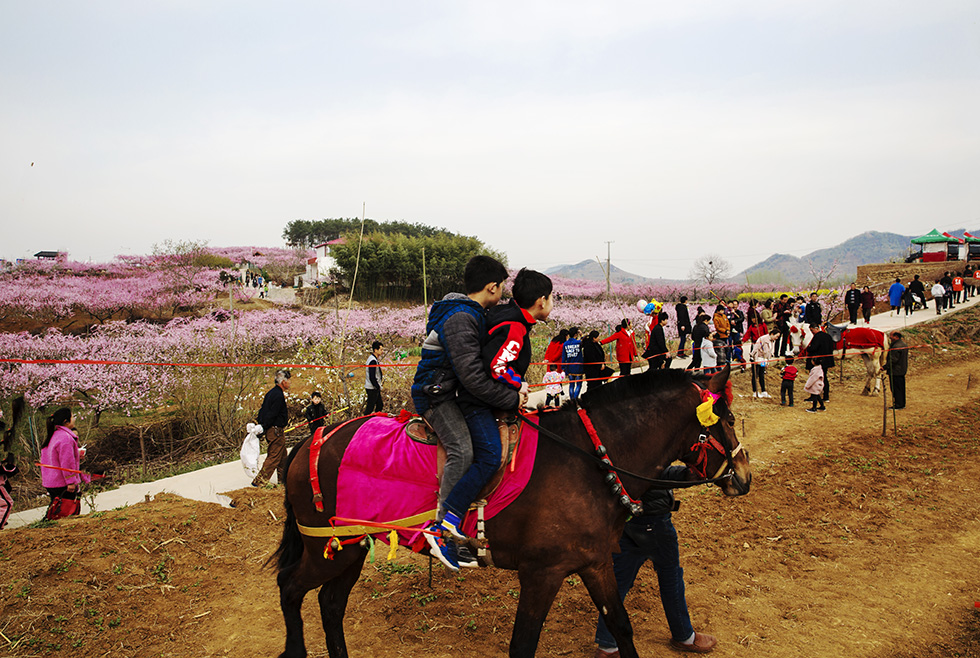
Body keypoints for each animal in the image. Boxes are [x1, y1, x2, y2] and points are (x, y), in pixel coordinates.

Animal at [272, 364, 756, 656]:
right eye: (729, 417)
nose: (745, 474)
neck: (588, 459)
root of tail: (312, 439)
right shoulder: (542, 573)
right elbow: (522, 645)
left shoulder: (595, 563)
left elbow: (620, 624)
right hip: (325, 549)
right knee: (290, 588)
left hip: (350, 547)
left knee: (331, 604)